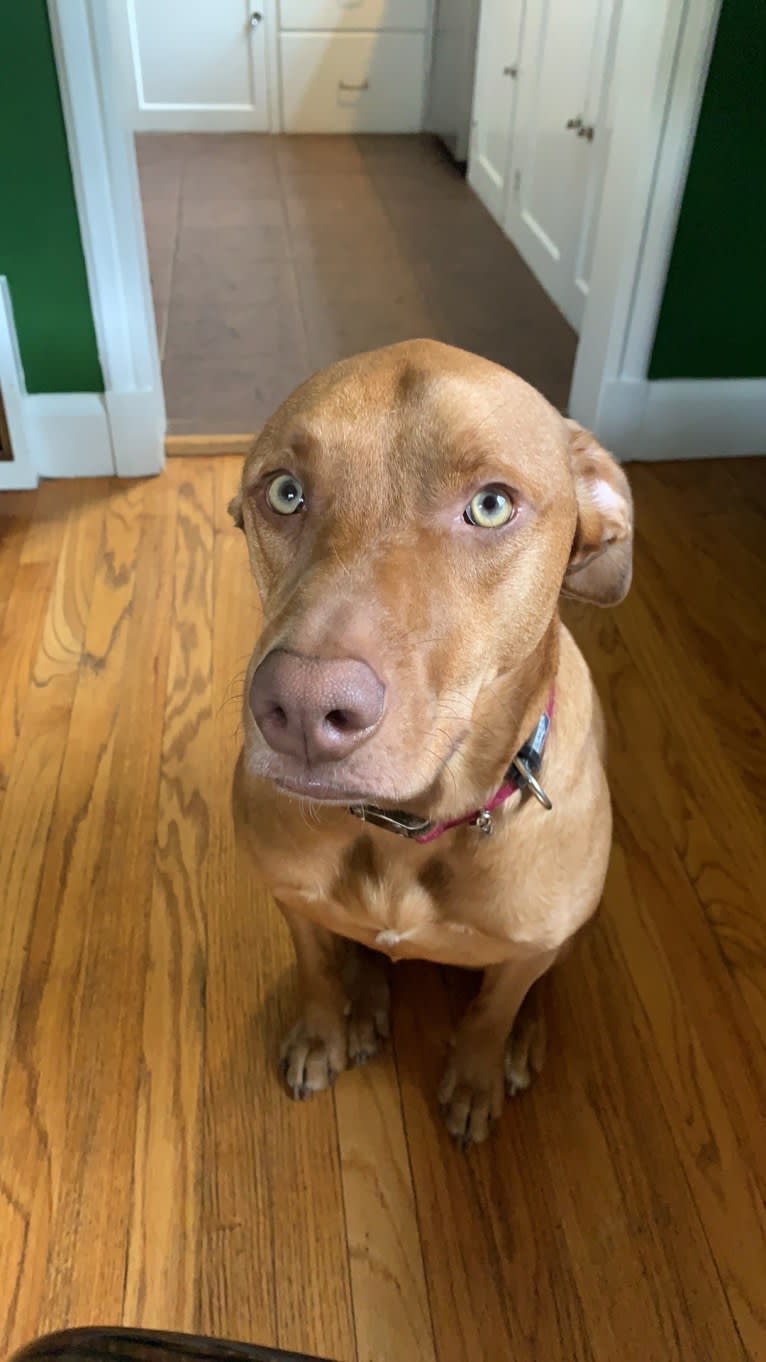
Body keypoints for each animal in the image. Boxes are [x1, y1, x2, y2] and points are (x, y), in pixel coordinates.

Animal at [227, 340, 632, 1149]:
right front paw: (323, 1029)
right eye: (284, 493)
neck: (408, 829)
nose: (302, 704)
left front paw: (477, 1076)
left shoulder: (527, 946)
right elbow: (316, 969)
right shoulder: (292, 897)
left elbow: (494, 1008)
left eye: (491, 505)